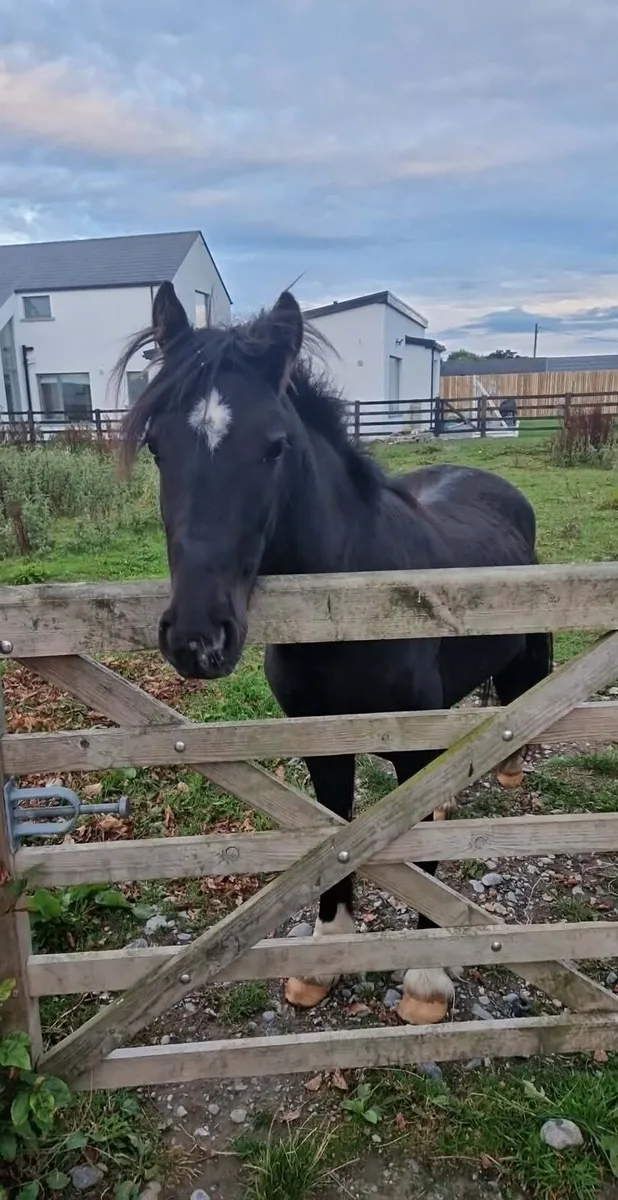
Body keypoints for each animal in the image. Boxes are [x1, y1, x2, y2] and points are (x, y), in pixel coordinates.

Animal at [116, 282, 553, 1025]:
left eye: (274, 447)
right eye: (155, 446)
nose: (197, 638)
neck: (351, 606)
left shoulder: (413, 745)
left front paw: (426, 978)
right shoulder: (321, 740)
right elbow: (335, 838)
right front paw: (324, 959)